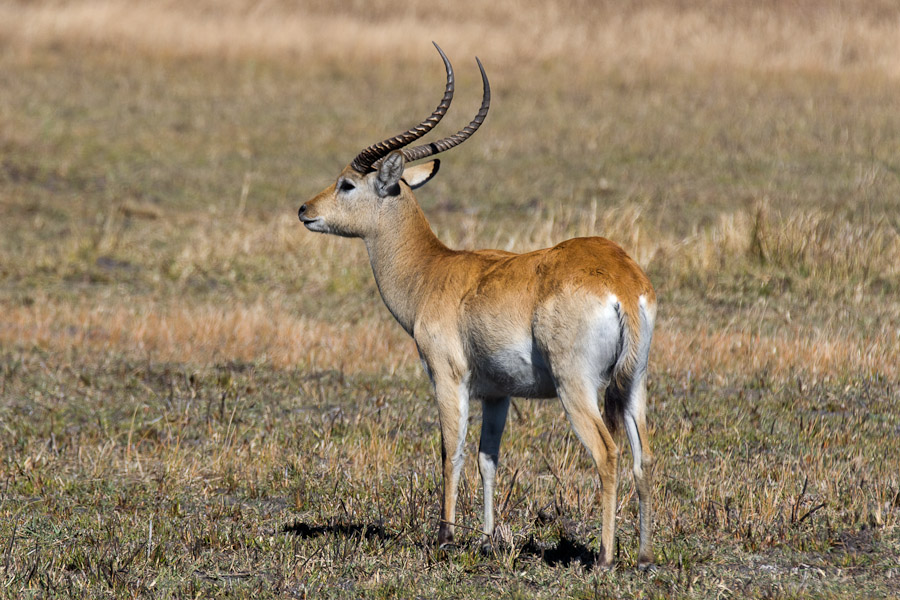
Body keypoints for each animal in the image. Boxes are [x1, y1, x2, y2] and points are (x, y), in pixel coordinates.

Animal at [298, 43, 656, 568]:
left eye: (347, 184)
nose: (305, 210)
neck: (432, 271)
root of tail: (621, 282)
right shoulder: (496, 392)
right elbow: (489, 458)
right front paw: (486, 539)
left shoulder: (448, 377)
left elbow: (452, 450)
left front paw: (445, 536)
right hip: (633, 386)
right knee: (642, 455)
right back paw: (646, 554)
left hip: (576, 387)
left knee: (607, 454)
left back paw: (605, 558)